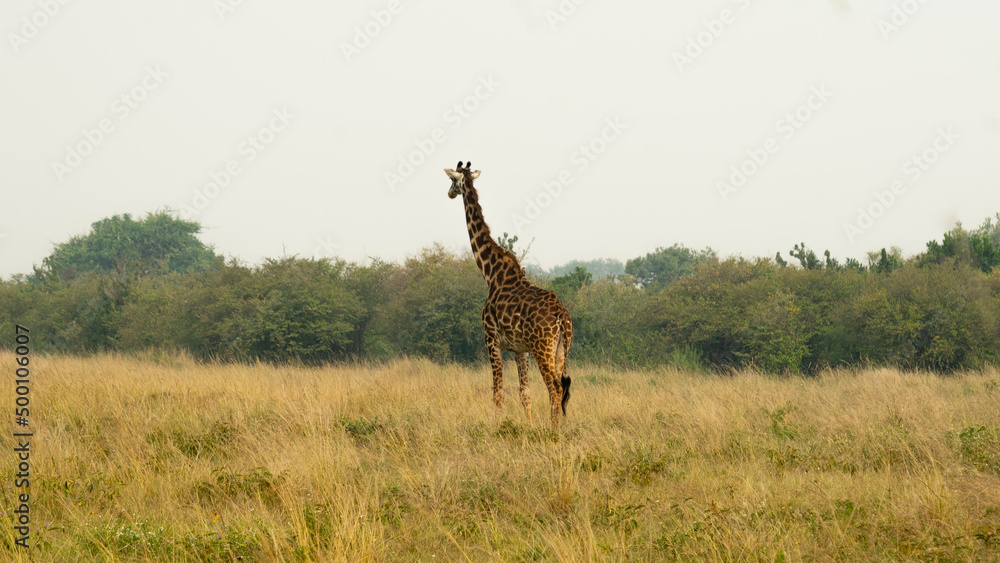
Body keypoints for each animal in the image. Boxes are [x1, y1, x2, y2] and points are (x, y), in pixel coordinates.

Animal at [444, 161, 573, 432]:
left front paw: (496, 427)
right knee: (559, 387)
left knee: (555, 388)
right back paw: (556, 428)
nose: (449, 193)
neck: (491, 273)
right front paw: (529, 427)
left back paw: (554, 432)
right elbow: (525, 393)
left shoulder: (491, 339)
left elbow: (497, 391)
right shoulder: (519, 349)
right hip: (561, 350)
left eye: (452, 180)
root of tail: (561, 317)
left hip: (542, 348)